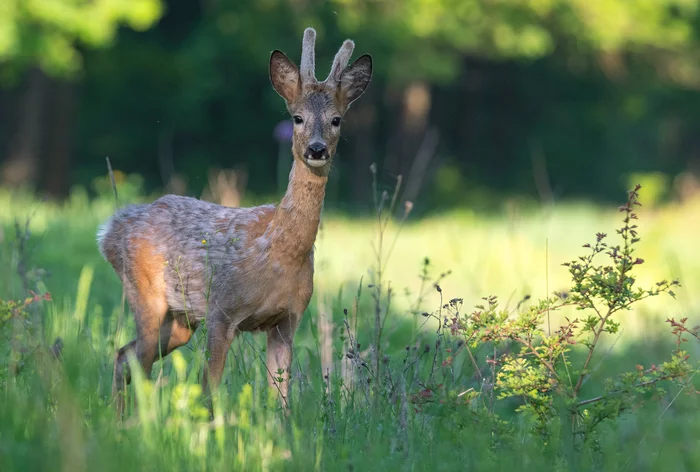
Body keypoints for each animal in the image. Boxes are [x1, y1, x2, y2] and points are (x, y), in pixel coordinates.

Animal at [98, 27, 374, 414]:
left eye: (336, 120)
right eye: (297, 118)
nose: (317, 149)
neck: (278, 255)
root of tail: (111, 228)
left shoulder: (287, 320)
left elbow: (281, 401)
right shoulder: (221, 310)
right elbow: (208, 390)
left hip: (181, 319)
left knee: (125, 356)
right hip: (146, 293)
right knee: (138, 361)